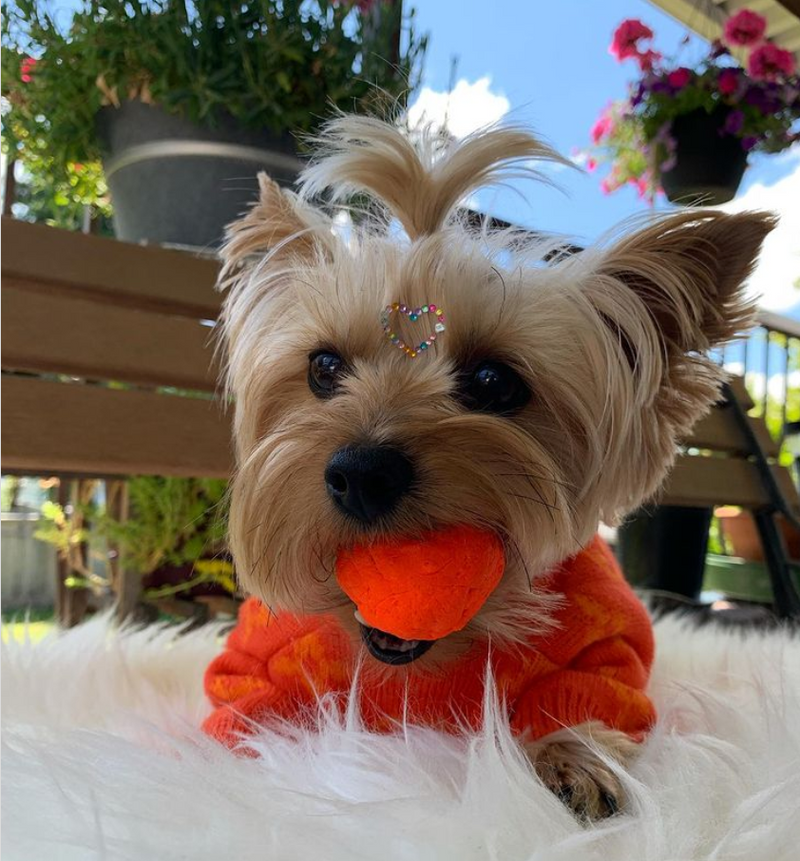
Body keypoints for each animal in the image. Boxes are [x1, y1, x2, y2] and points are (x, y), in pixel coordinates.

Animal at [206, 114, 776, 820]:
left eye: (493, 383)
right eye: (324, 368)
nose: (362, 473)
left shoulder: (606, 646)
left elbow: (596, 695)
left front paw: (575, 760)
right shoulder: (254, 664)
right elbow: (253, 716)